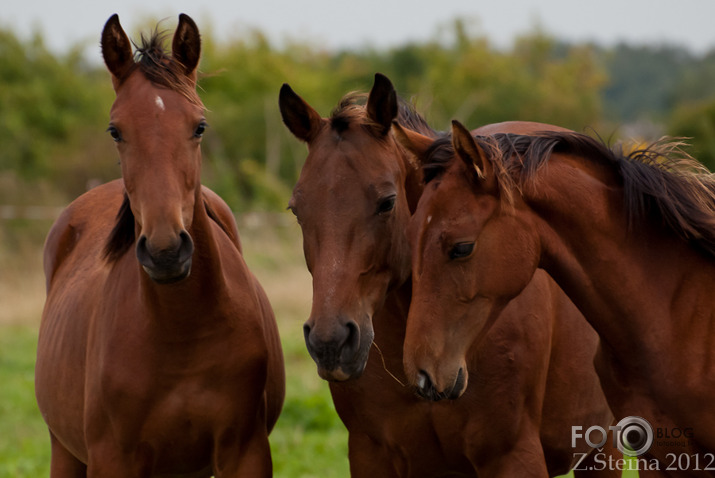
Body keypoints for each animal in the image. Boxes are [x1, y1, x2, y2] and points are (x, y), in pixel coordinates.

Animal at [35, 14, 284, 478]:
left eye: (199, 126)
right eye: (116, 130)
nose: (166, 251)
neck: (181, 334)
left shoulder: (245, 453)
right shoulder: (112, 460)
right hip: (64, 449)